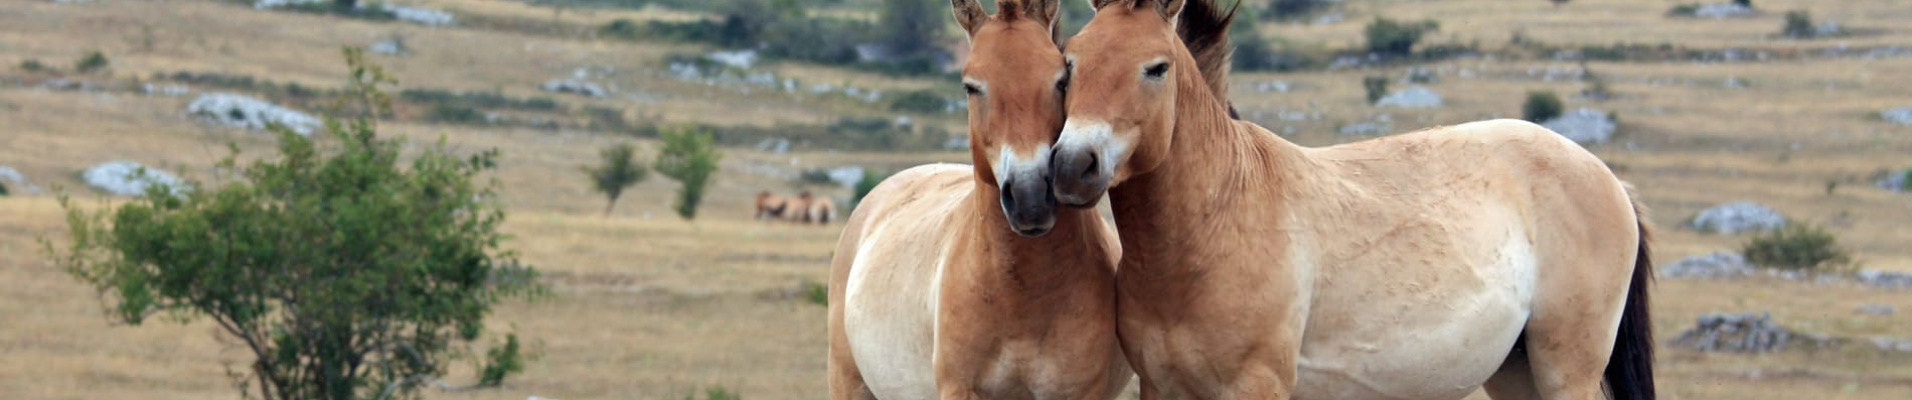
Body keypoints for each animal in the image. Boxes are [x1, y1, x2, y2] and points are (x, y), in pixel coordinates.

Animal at [1047, 0, 1659, 400]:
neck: (1215, 226)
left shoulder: (1257, 386)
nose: (1072, 165)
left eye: (1157, 67)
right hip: (1515, 371)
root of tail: (1609, 180)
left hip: (1565, 369)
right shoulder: (1163, 387)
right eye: (1069, 62)